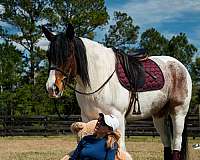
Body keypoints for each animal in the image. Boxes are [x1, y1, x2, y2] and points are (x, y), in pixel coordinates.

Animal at [42, 24, 192, 160]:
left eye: (67, 54)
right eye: (48, 55)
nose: (52, 88)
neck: (99, 77)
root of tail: (181, 66)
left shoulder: (117, 117)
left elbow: (120, 147)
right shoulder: (87, 118)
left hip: (178, 112)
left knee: (176, 143)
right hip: (159, 115)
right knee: (166, 142)